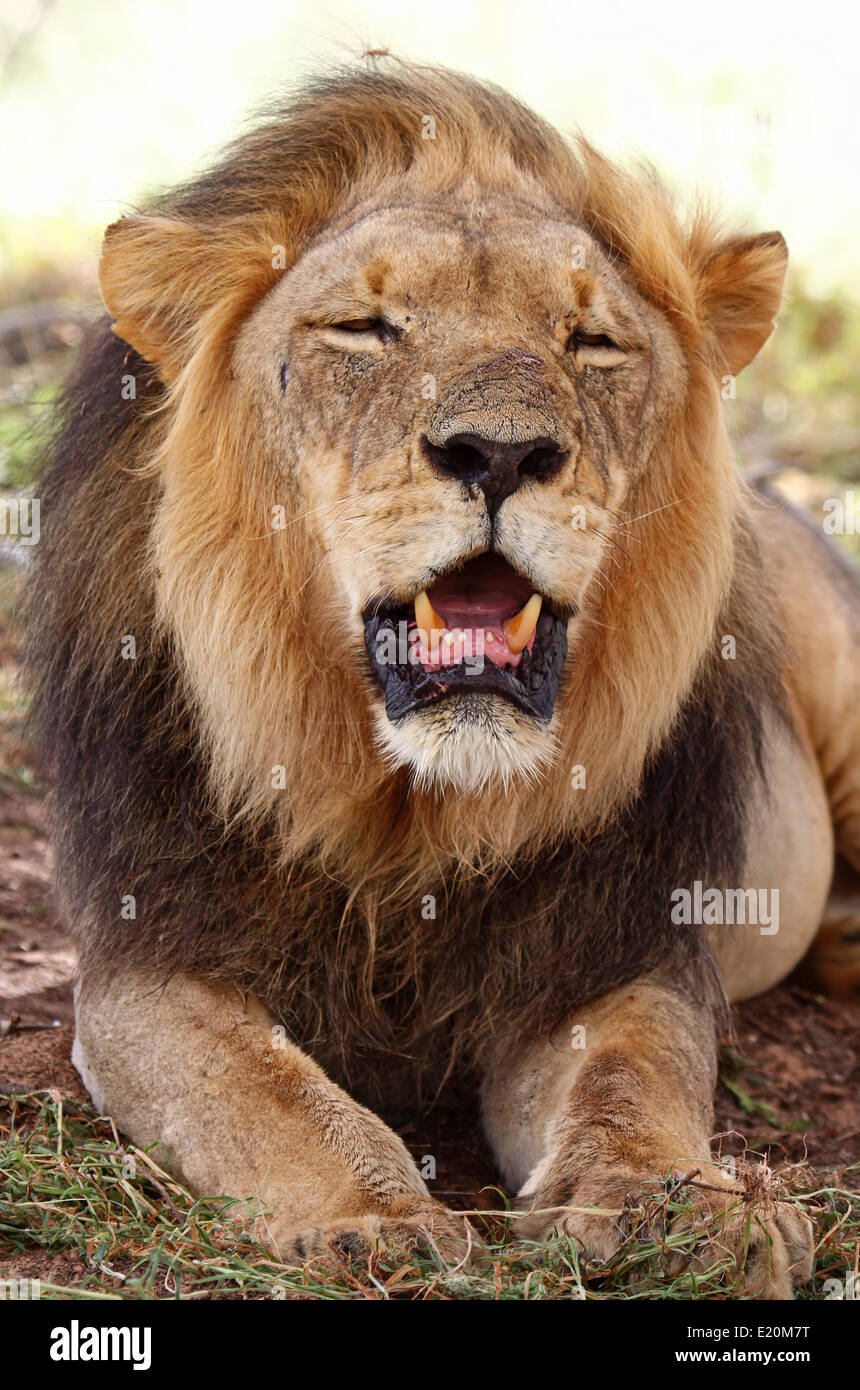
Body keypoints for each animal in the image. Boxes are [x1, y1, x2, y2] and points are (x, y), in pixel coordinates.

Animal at [26, 58, 860, 1297]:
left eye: (589, 341)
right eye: (365, 329)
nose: (500, 451)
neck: (406, 812)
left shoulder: (610, 955)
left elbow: (630, 1080)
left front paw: (685, 1212)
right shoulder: (148, 960)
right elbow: (266, 1091)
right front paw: (372, 1215)